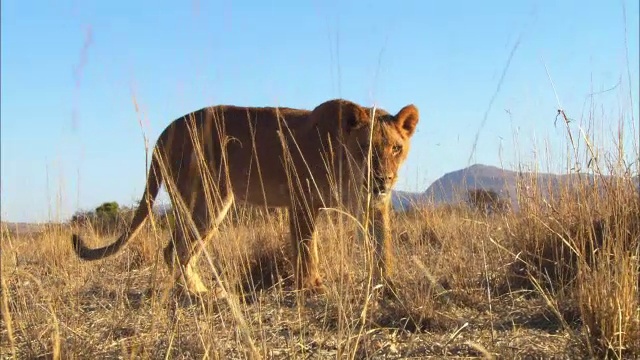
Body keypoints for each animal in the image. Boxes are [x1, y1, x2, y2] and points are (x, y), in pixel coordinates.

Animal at [71, 97, 420, 296]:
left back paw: (195, 290)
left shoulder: (374, 205)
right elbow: (307, 248)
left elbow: (382, 246)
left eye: (396, 148)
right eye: (365, 147)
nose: (382, 179)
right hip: (206, 201)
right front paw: (311, 287)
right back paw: (198, 293)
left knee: (178, 248)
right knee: (175, 249)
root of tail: (166, 130)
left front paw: (386, 284)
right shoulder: (302, 199)